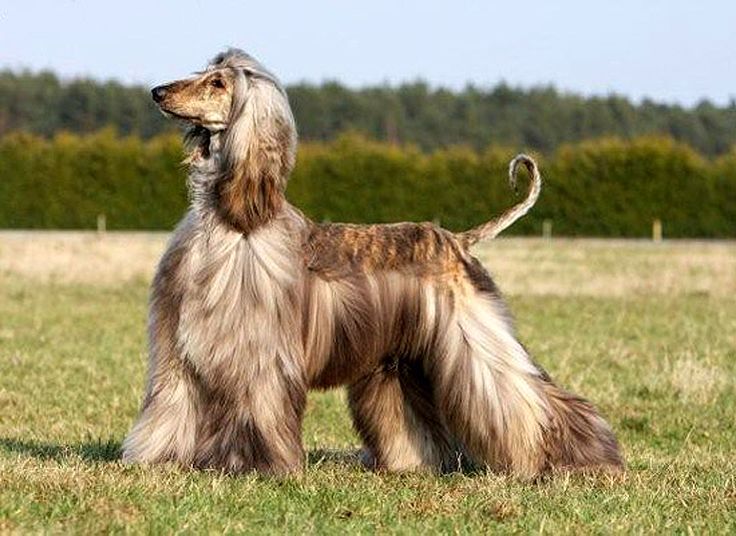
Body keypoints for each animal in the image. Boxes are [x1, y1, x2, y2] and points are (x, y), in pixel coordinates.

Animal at [122, 49, 623, 478]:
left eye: (218, 82)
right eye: (203, 72)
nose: (158, 92)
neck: (233, 219)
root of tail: (457, 240)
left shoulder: (258, 352)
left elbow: (257, 409)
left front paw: (257, 465)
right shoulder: (177, 346)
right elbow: (171, 405)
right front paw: (158, 458)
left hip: (473, 339)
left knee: (526, 397)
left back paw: (582, 458)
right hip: (400, 358)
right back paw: (410, 464)